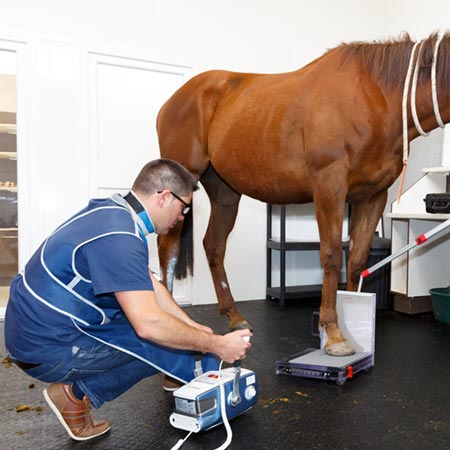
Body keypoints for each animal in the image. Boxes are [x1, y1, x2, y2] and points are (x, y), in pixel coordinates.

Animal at [156, 29, 450, 356]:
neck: (376, 95)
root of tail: (170, 102)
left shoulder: (373, 197)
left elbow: (357, 260)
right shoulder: (329, 187)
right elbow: (332, 255)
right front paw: (333, 334)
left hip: (225, 193)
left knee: (214, 245)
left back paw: (234, 316)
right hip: (181, 182)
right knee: (167, 245)